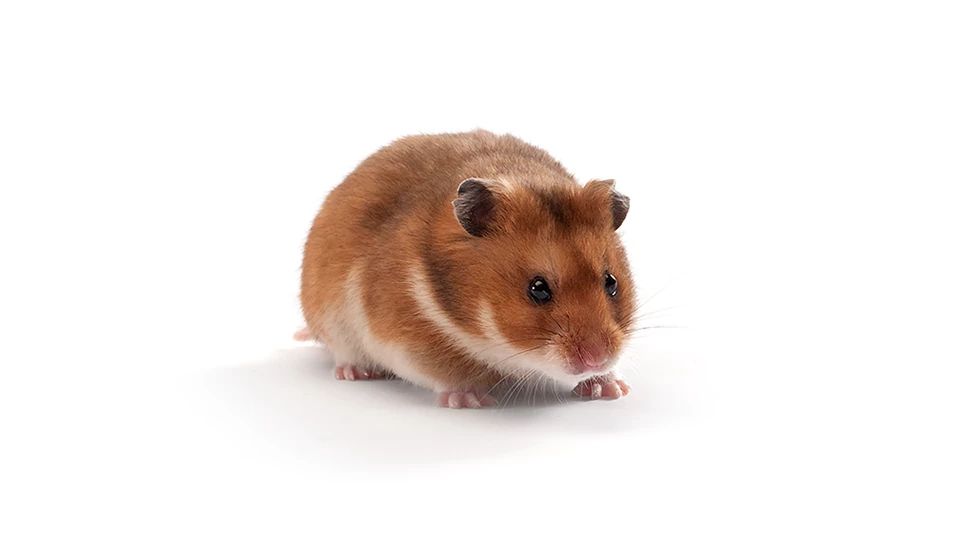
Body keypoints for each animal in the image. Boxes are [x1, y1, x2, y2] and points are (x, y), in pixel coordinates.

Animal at [299, 130, 636, 408]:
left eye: (611, 282)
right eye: (538, 289)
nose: (597, 359)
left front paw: (613, 389)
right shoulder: (403, 338)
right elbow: (446, 375)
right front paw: (471, 400)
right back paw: (355, 372)